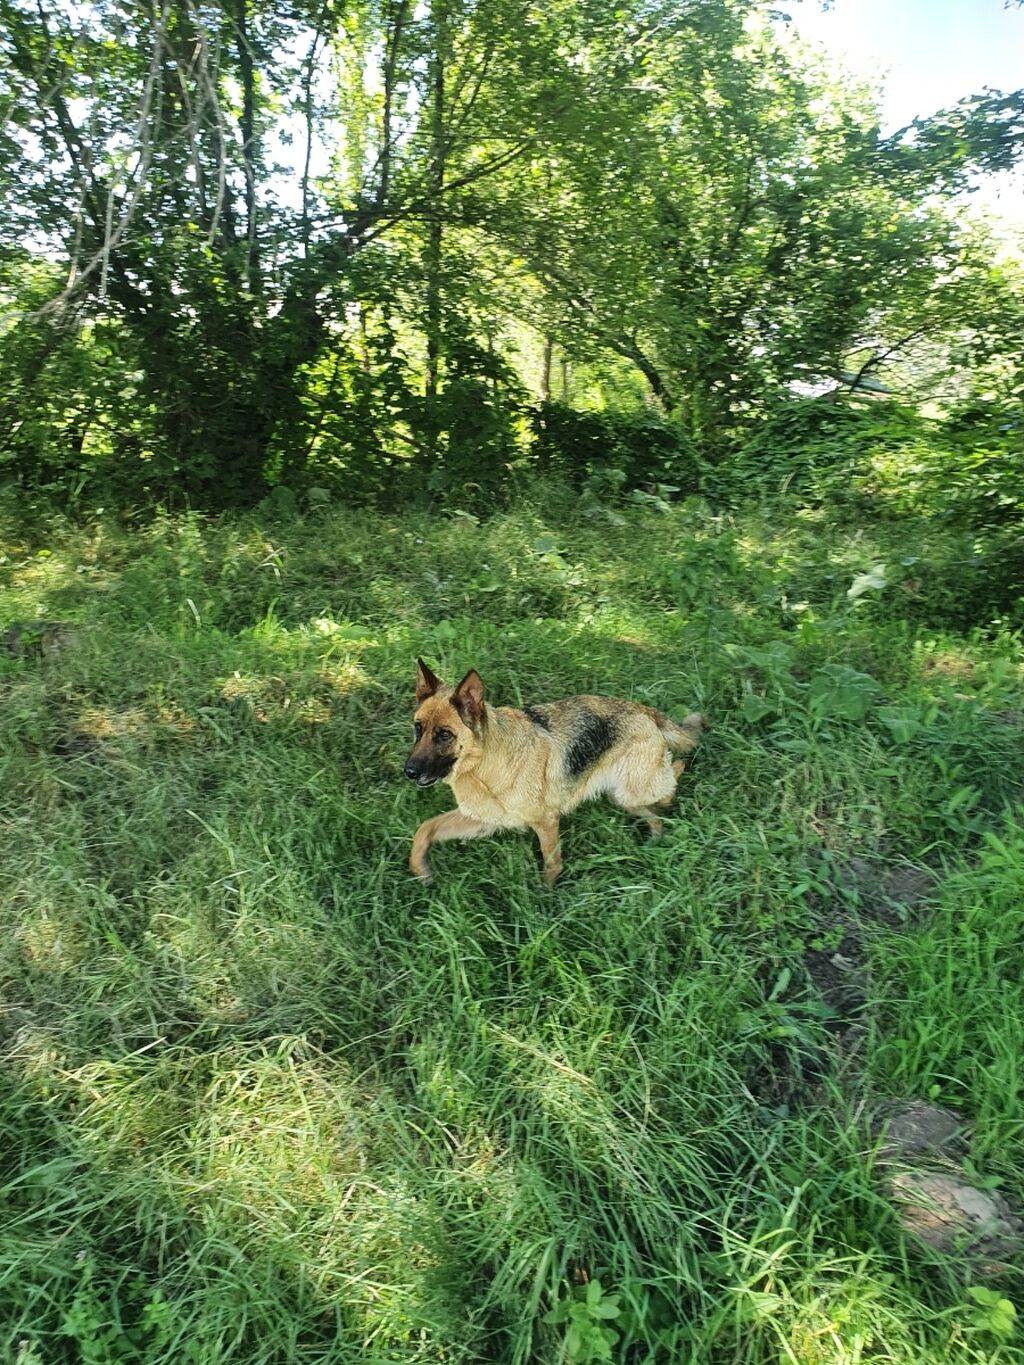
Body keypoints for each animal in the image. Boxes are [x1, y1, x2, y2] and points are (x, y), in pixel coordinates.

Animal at [404, 660, 704, 884]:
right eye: (418, 728)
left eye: (444, 735)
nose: (409, 772)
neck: (486, 764)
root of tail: (642, 710)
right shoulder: (483, 821)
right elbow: (425, 828)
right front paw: (420, 869)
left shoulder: (547, 822)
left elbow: (551, 864)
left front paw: (545, 903)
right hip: (622, 797)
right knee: (655, 812)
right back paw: (656, 835)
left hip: (635, 789)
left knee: (675, 769)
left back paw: (667, 803)